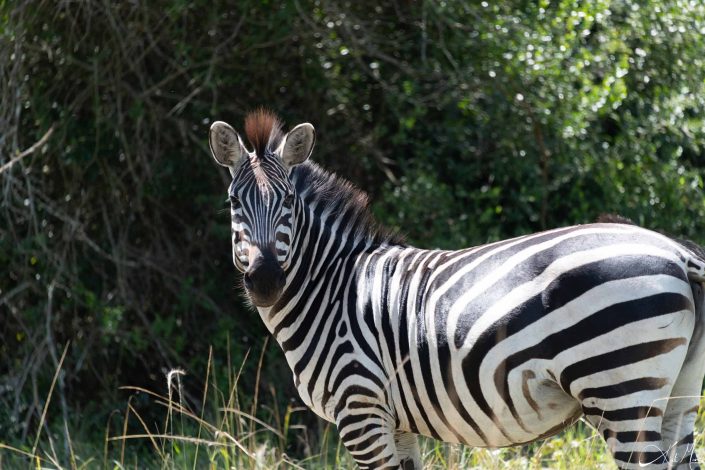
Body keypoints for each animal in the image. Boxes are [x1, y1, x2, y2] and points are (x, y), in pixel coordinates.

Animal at [206, 108, 704, 468]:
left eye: (288, 201)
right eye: (233, 202)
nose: (266, 281)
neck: (331, 289)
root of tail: (677, 250)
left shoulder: (360, 407)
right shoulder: (397, 420)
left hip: (620, 386)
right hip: (676, 394)